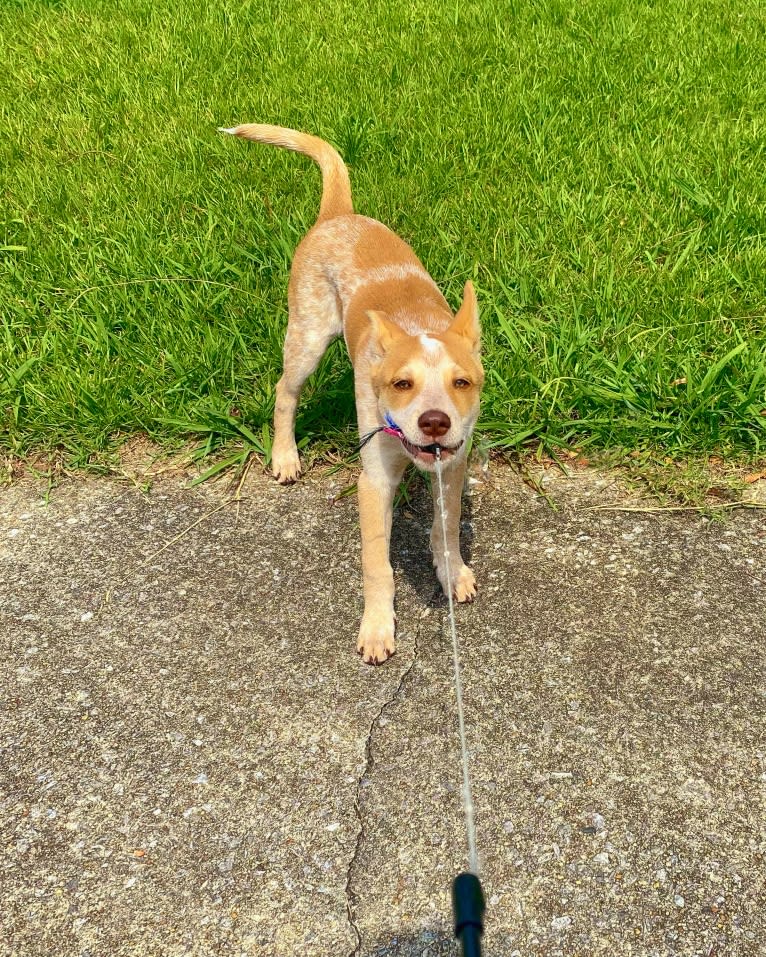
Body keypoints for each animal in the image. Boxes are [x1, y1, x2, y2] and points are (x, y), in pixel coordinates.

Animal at [219, 125, 484, 664]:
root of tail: (339, 215)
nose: (434, 422)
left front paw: (452, 571)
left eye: (461, 382)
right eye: (401, 384)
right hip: (306, 338)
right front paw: (378, 626)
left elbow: (446, 527)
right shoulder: (374, 480)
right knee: (284, 392)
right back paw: (285, 455)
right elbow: (377, 562)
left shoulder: (451, 464)